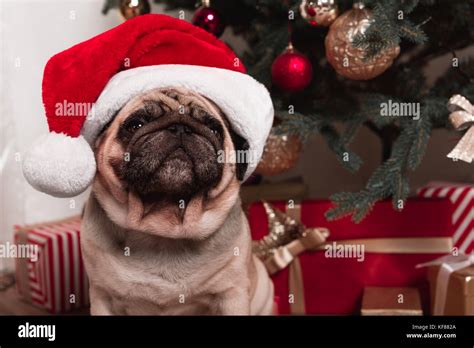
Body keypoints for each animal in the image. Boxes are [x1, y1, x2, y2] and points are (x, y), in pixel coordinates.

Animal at [80, 87, 274, 316]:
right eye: (136, 124)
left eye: (214, 129)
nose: (181, 128)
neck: (164, 230)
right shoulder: (102, 295)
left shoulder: (232, 293)